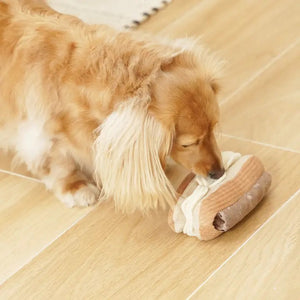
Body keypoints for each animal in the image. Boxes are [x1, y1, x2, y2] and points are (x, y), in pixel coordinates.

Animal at [0, 1, 224, 214]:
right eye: (188, 144)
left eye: (213, 128)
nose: (219, 173)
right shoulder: (39, 133)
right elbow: (59, 164)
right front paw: (76, 188)